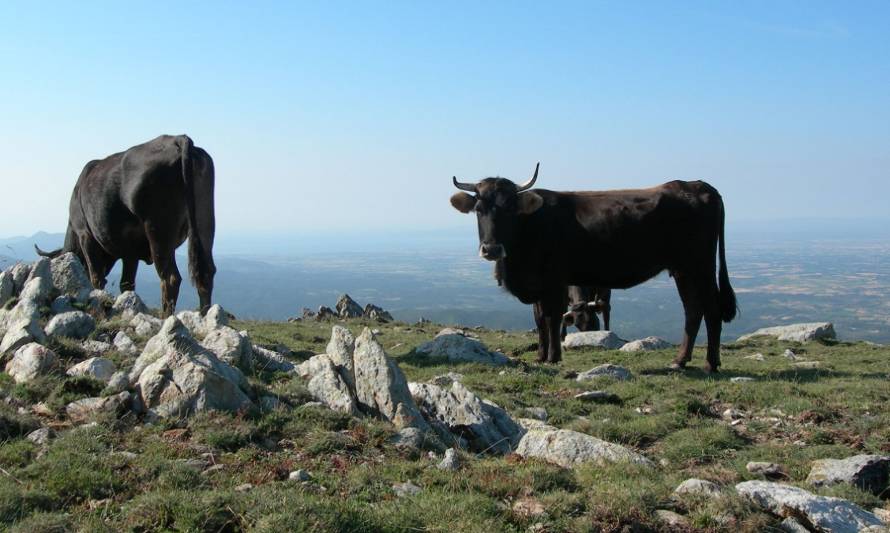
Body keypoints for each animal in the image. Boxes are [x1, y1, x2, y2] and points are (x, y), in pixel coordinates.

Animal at [35, 134, 217, 316]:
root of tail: (178, 139)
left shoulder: (85, 235)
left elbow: (96, 277)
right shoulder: (130, 251)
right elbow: (127, 283)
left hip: (158, 229)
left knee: (170, 278)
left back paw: (166, 317)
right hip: (204, 222)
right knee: (206, 273)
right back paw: (204, 314)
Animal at [450, 164, 736, 372]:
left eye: (510, 209)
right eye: (479, 209)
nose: (491, 249)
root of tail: (696, 184)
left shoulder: (554, 280)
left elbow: (552, 318)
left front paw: (553, 357)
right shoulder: (538, 284)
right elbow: (539, 319)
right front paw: (541, 356)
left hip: (700, 266)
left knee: (710, 310)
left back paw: (710, 363)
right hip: (683, 270)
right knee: (693, 310)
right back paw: (680, 360)